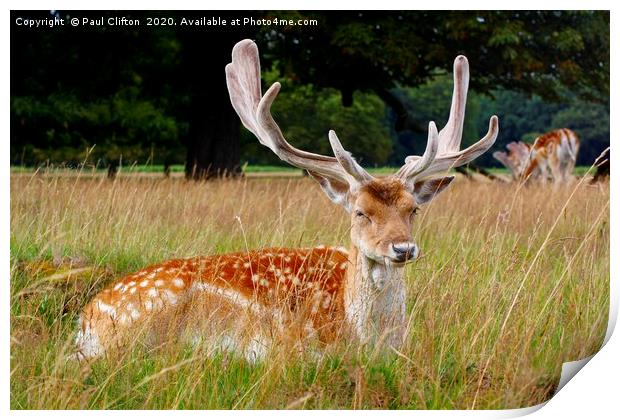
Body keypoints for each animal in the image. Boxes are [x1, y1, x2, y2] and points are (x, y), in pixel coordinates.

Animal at [74, 38, 498, 360]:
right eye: (360, 212)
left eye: (413, 210)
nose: (403, 248)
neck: (371, 340)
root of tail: (87, 317)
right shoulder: (293, 347)